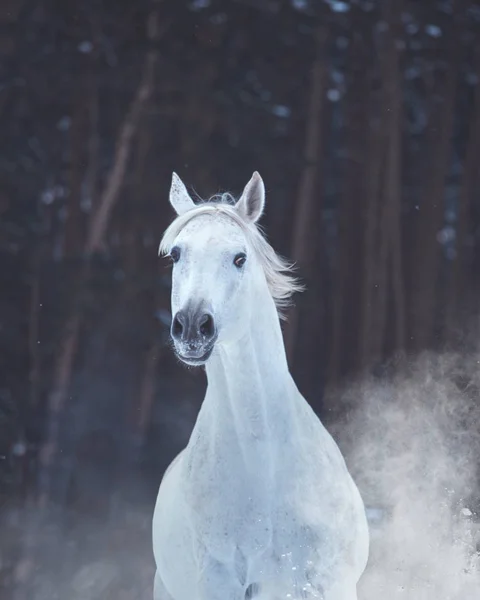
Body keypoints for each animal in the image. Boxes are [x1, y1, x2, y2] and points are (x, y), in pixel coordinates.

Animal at [152, 172, 370, 600]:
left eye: (240, 257)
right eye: (177, 255)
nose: (192, 327)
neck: (262, 464)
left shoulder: (324, 583)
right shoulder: (219, 585)